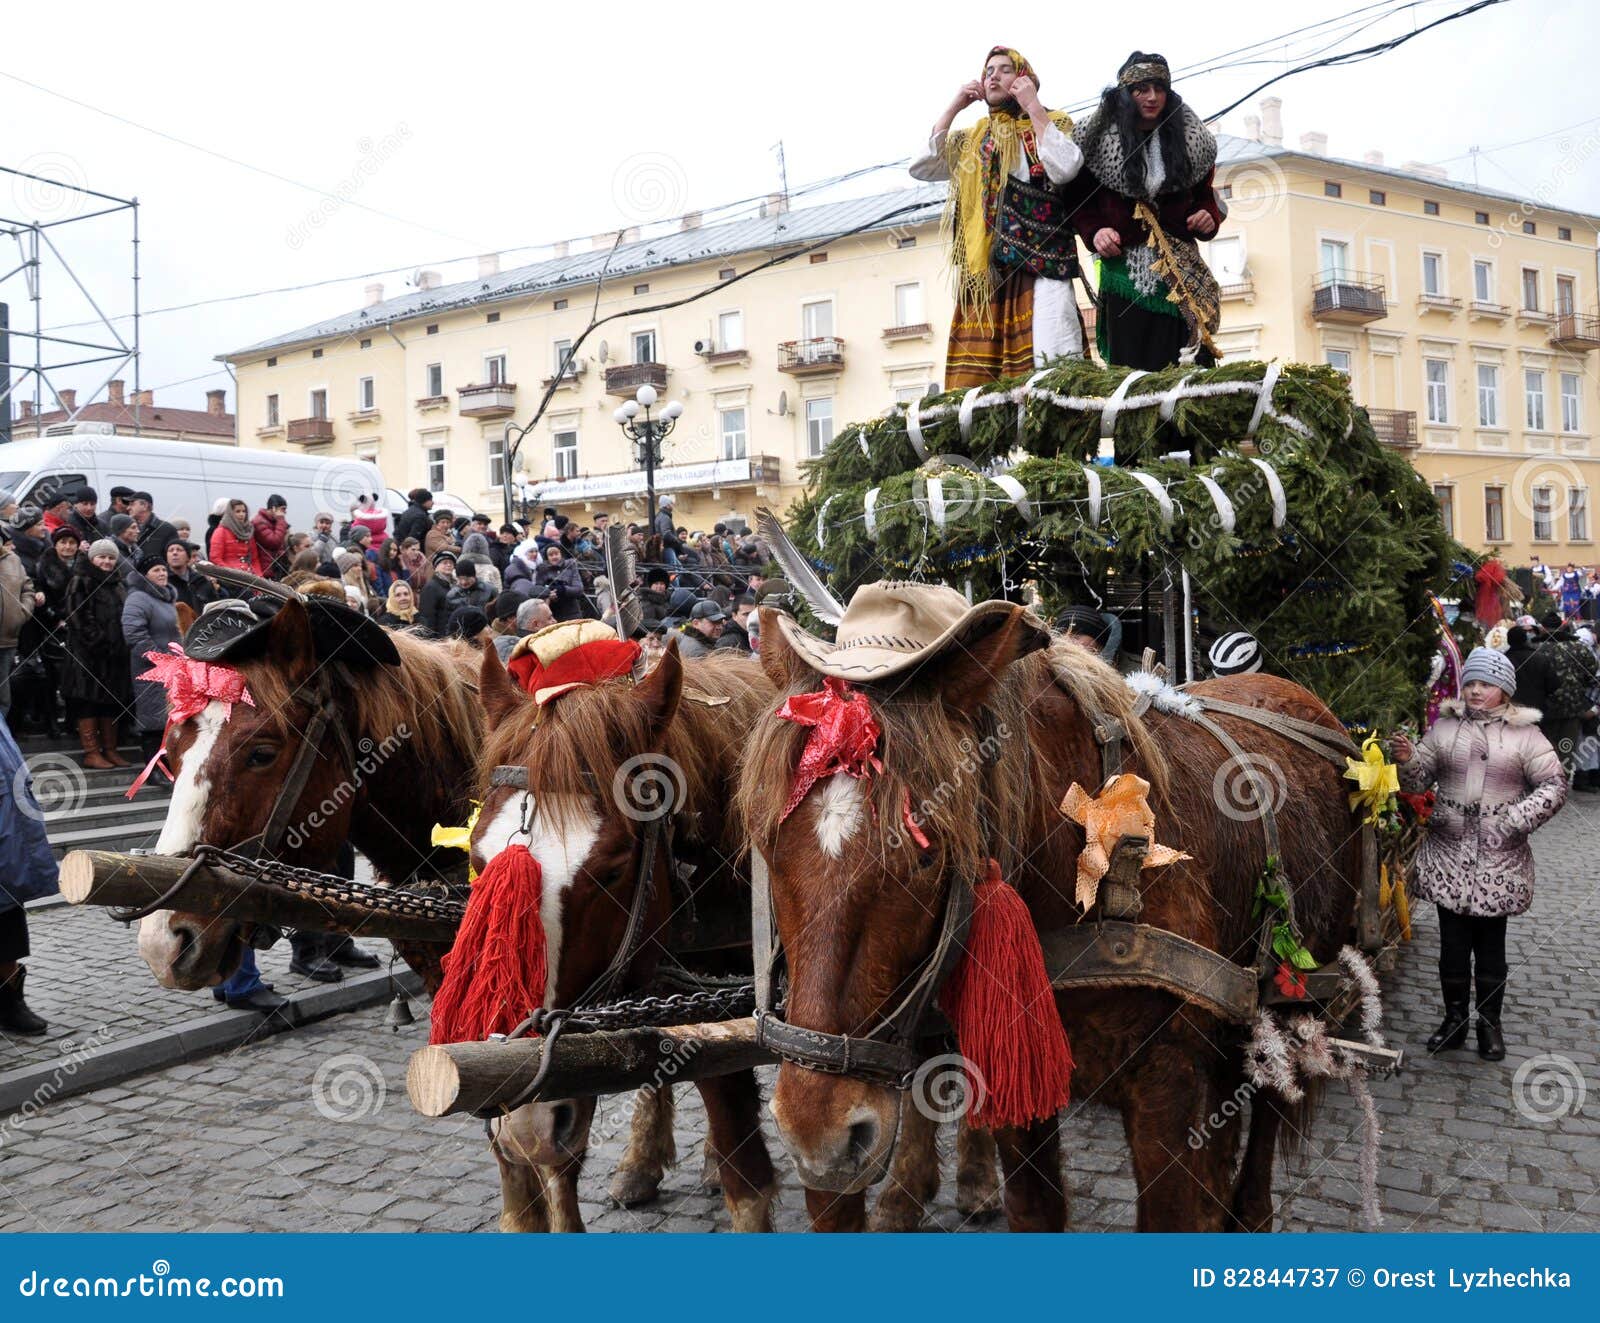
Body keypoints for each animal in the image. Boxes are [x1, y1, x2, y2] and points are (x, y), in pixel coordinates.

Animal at [739, 607, 1363, 1228]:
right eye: (766, 842)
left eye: (927, 854)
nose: (817, 1137)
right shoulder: (1021, 1074)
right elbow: (1036, 1207)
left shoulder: (1170, 1085)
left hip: (1294, 1000)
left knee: (1266, 1126)